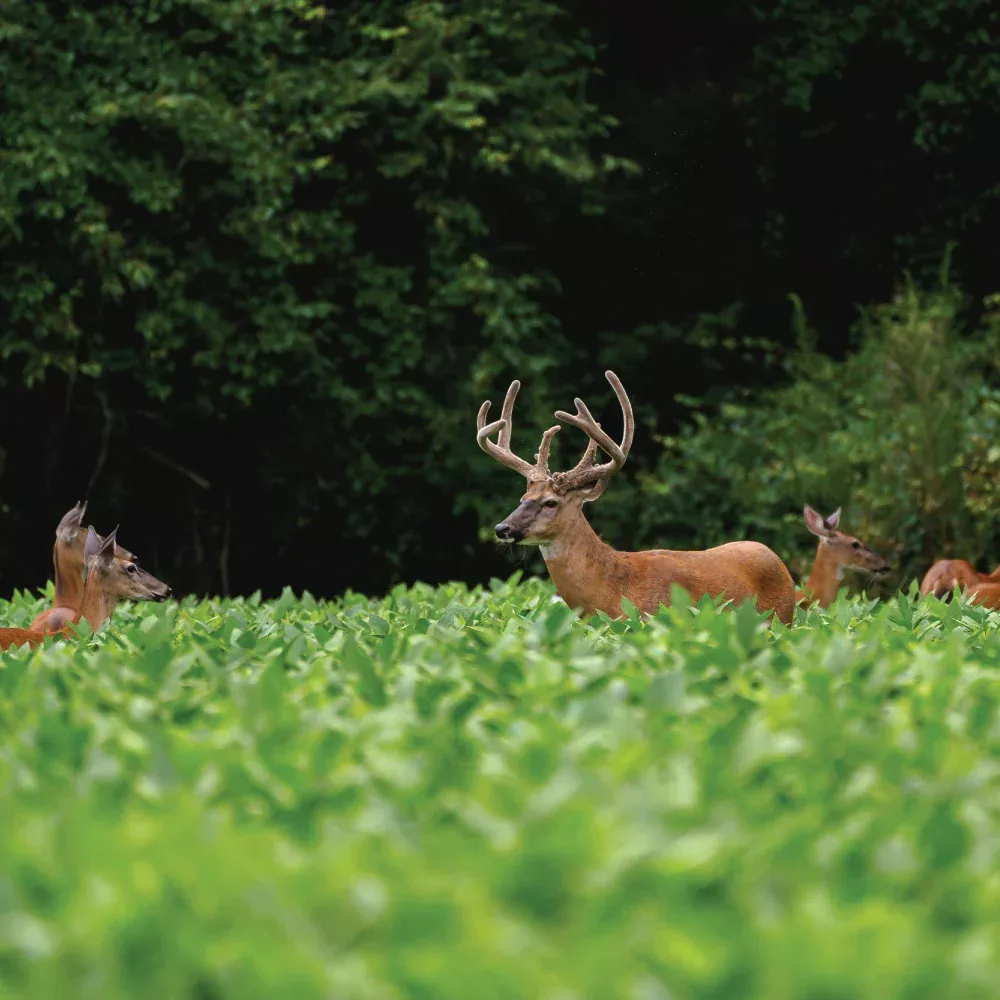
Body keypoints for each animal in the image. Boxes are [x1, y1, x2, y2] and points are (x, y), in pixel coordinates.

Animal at [477, 370, 796, 625]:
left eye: (551, 502)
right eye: (523, 497)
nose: (502, 528)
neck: (613, 592)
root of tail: (778, 561)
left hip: (781, 622)